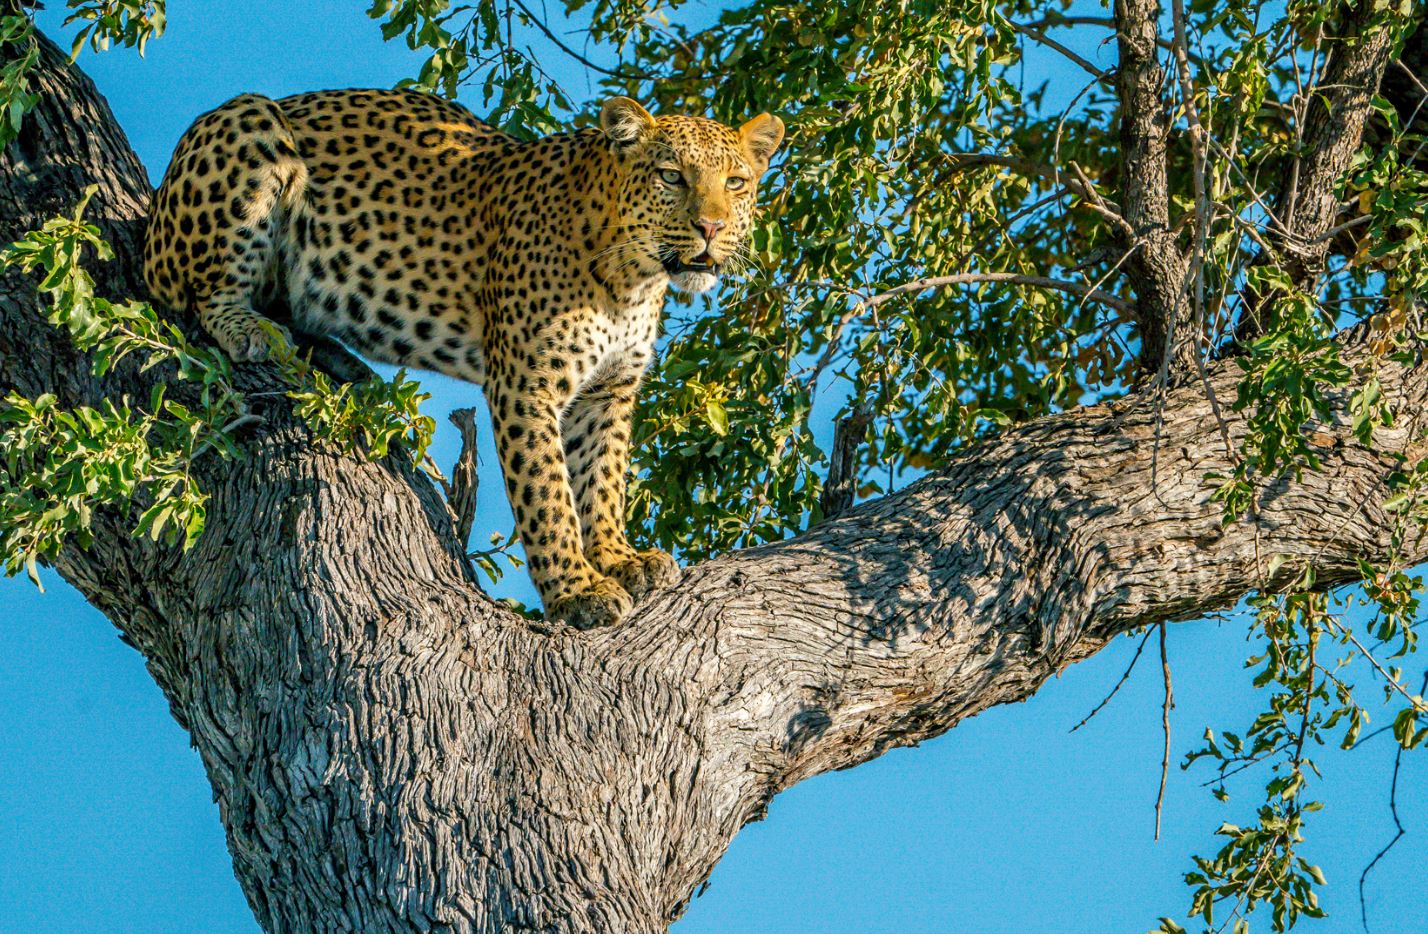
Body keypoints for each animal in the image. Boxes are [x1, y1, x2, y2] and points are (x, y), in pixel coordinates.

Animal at [140, 89, 788, 628]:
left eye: (735, 182)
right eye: (671, 176)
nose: (711, 226)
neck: (632, 277)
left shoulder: (608, 392)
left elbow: (601, 480)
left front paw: (617, 557)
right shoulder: (527, 384)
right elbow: (549, 493)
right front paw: (578, 593)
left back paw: (344, 365)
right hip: (247, 125)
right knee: (198, 294)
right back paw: (254, 330)